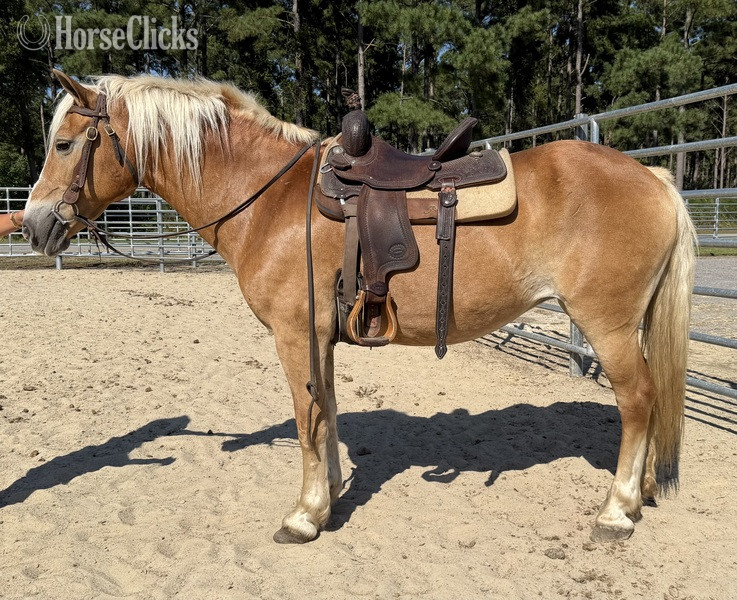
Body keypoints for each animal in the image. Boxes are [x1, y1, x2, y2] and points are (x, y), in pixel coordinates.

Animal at [23, 70, 696, 544]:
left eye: (65, 144)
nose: (31, 225)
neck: (269, 199)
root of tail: (655, 179)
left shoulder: (293, 334)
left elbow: (306, 420)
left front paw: (303, 516)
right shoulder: (319, 336)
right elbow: (329, 413)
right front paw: (329, 496)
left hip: (608, 325)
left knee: (638, 400)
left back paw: (616, 511)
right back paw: (637, 496)